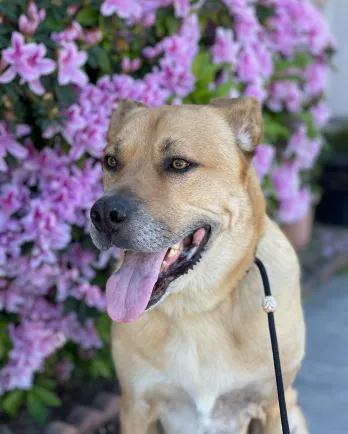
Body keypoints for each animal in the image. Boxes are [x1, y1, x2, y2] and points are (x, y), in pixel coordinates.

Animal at [89, 98, 308, 434]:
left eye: (179, 164)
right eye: (111, 161)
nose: (102, 214)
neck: (197, 309)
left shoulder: (272, 407)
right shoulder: (136, 407)